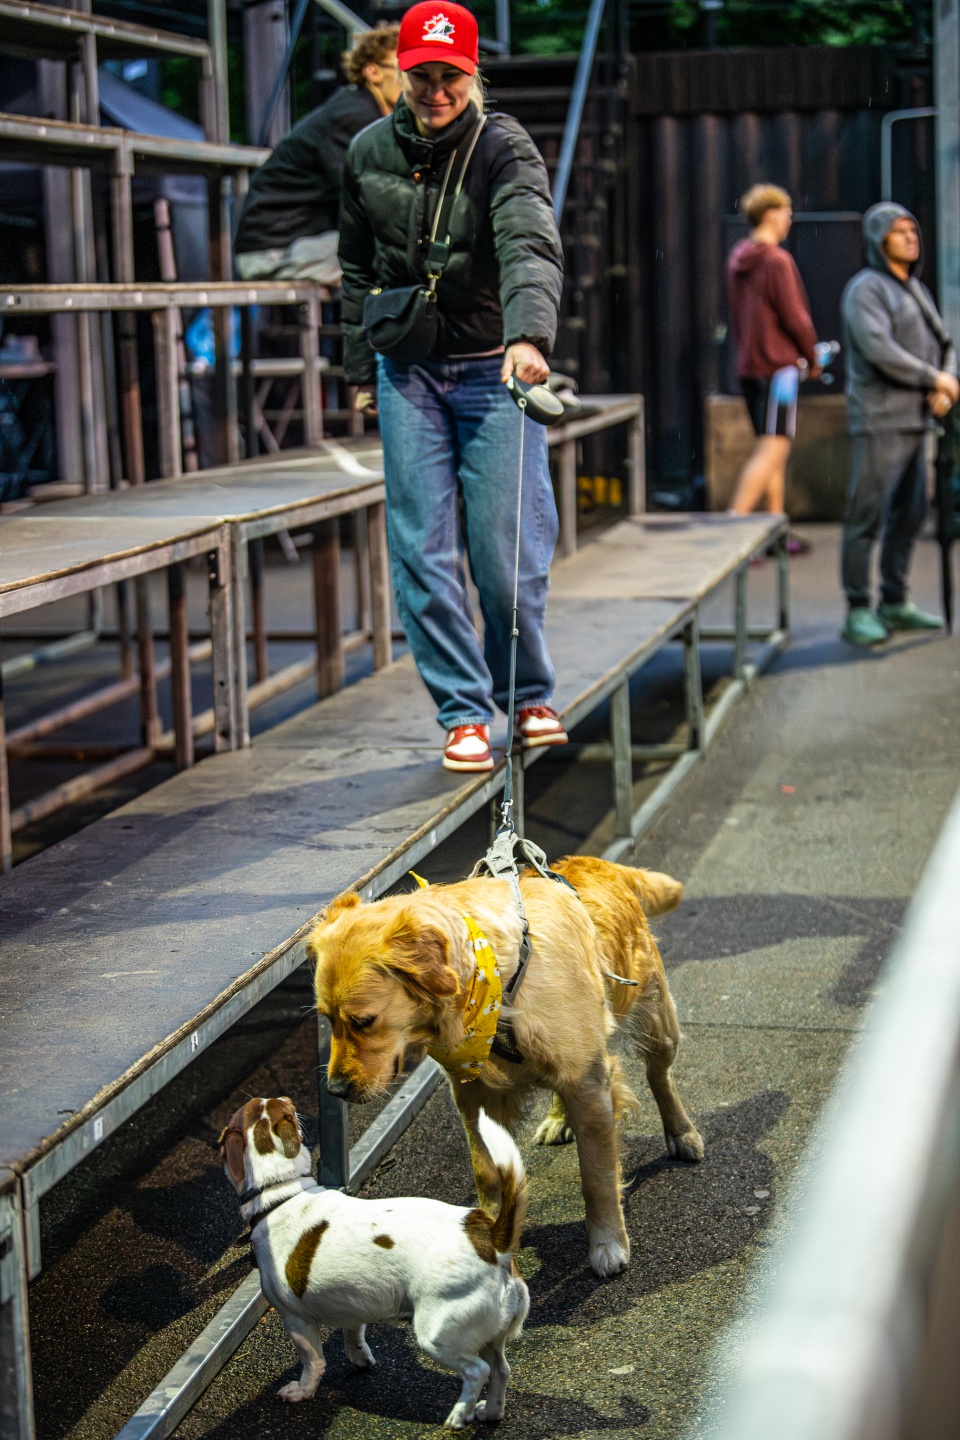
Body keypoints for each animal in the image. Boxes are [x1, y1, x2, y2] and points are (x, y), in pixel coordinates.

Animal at [219, 1095, 529, 1429]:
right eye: (274, 1103)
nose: (290, 1100)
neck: (281, 1192)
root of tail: (492, 1239)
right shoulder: (354, 1302)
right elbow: (353, 1335)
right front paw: (360, 1360)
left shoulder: (296, 1320)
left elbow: (313, 1361)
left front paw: (302, 1391)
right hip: (490, 1337)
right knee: (500, 1370)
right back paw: (489, 1412)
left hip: (438, 1337)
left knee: (477, 1371)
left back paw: (459, 1415)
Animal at [308, 855, 703, 1279]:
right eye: (326, 1019)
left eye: (363, 1022)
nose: (334, 1090)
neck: (495, 977)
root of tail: (594, 862)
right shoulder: (475, 1094)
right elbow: (487, 1172)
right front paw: (491, 1234)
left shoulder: (587, 1081)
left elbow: (596, 1176)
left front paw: (608, 1244)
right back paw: (559, 1119)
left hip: (657, 1022)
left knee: (660, 1077)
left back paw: (682, 1133)